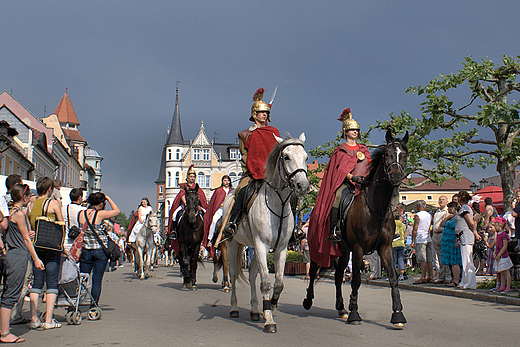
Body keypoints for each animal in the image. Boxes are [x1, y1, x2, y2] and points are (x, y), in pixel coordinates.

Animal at [223, 133, 308, 334]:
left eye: (306, 157)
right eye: (286, 157)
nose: (303, 186)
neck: (279, 203)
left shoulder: (281, 248)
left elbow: (278, 283)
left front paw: (271, 305)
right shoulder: (262, 245)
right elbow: (266, 283)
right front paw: (269, 320)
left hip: (254, 248)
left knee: (253, 273)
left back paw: (255, 310)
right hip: (233, 244)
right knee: (233, 274)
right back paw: (234, 308)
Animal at [302, 130, 408, 328]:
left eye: (404, 154)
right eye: (387, 153)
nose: (396, 176)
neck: (376, 207)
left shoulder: (386, 248)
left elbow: (393, 278)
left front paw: (398, 314)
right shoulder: (358, 249)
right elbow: (356, 280)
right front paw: (354, 313)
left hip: (343, 251)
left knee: (338, 276)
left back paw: (341, 308)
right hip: (316, 247)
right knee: (312, 271)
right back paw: (308, 300)